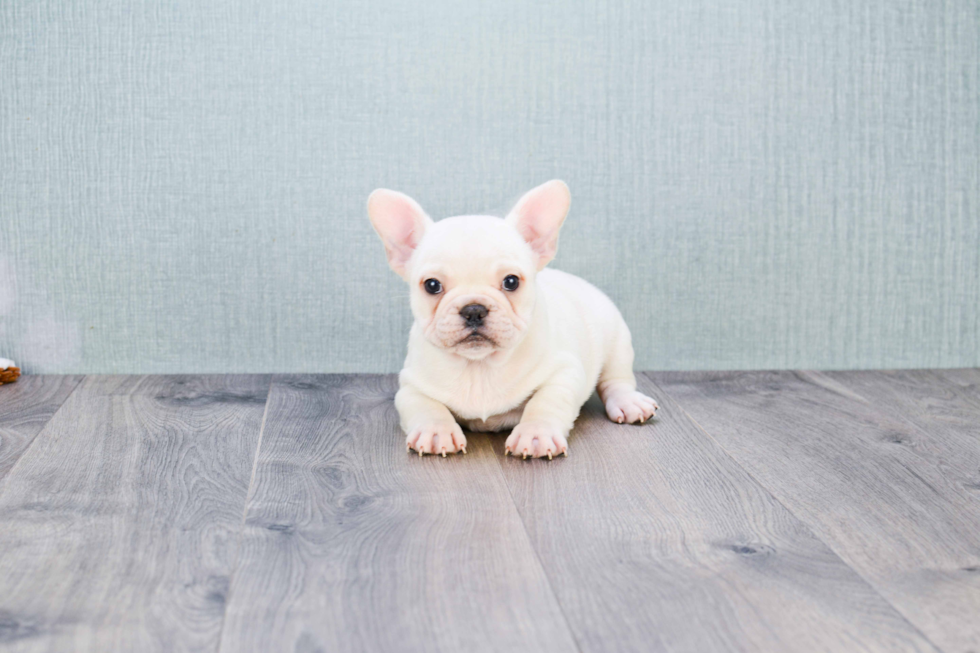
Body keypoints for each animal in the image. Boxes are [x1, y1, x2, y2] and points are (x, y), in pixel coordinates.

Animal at [368, 178, 660, 458]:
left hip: (617, 343)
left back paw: (629, 402)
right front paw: (435, 431)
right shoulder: (410, 385)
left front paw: (536, 434)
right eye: (431, 285)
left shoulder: (564, 373)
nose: (473, 309)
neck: (479, 367)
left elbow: (545, 402)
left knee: (617, 380)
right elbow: (425, 405)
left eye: (511, 282)